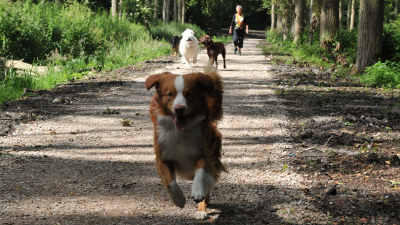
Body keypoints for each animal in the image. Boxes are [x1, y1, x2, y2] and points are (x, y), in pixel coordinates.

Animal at [146, 66, 228, 220]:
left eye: (189, 94)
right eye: (170, 94)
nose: (179, 109)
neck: (180, 132)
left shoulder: (203, 151)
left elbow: (201, 172)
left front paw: (198, 190)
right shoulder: (162, 156)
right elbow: (170, 182)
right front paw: (179, 199)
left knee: (208, 180)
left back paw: (201, 208)